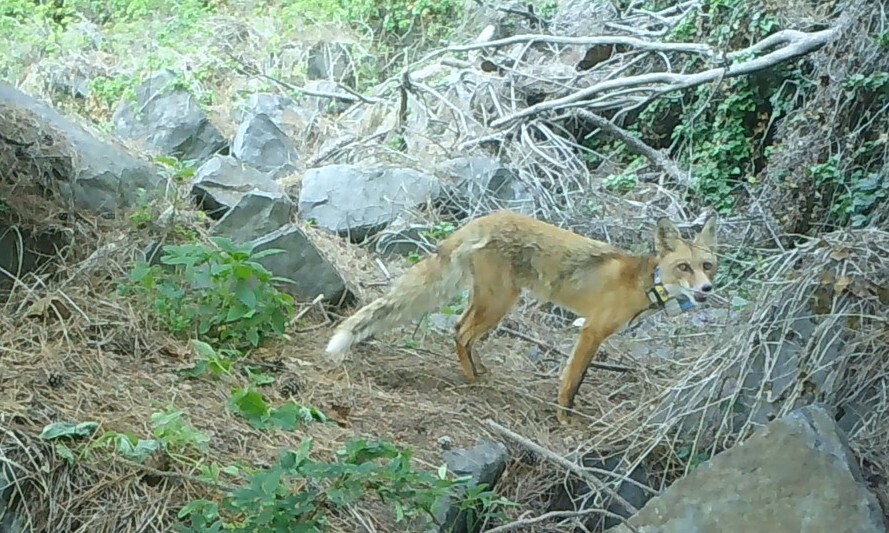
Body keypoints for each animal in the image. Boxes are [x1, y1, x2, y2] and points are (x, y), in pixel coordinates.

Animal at [322, 208, 720, 424]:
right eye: (683, 267)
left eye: (707, 266)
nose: (706, 289)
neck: (647, 283)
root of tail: (482, 220)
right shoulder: (592, 331)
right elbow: (571, 383)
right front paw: (565, 420)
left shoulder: (590, 330)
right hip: (501, 301)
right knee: (462, 332)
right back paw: (473, 381)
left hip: (488, 298)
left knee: (459, 328)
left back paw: (479, 371)